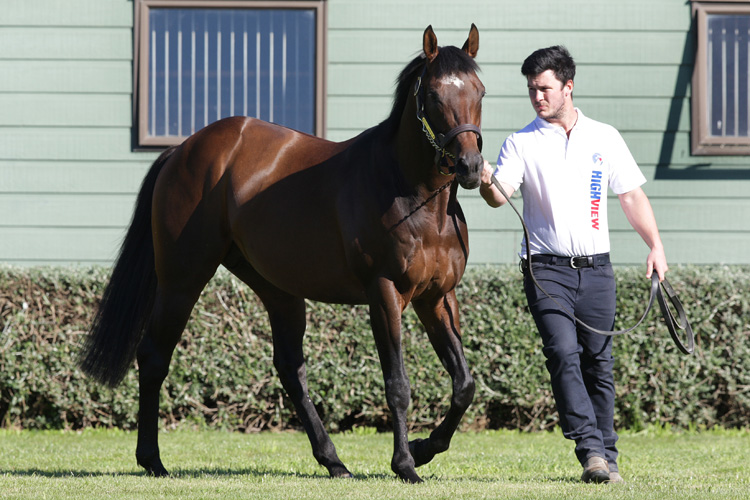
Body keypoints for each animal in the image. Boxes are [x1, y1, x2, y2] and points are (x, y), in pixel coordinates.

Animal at [79, 24, 484, 484]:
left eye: (479, 91)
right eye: (433, 94)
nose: (470, 166)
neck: (410, 193)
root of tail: (181, 151)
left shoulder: (437, 297)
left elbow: (464, 384)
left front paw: (423, 448)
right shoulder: (385, 294)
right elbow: (397, 384)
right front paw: (405, 464)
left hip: (278, 290)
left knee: (291, 369)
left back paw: (333, 461)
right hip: (182, 280)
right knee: (153, 357)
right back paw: (152, 459)